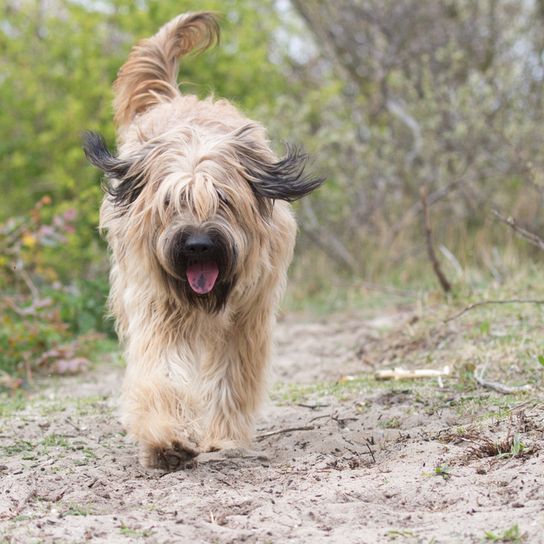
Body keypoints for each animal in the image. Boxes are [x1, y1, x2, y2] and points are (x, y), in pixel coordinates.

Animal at [84, 10, 324, 470]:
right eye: (171, 202)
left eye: (223, 200)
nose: (198, 245)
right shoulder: (158, 305)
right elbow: (161, 369)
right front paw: (168, 438)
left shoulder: (248, 315)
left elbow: (231, 376)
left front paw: (224, 438)